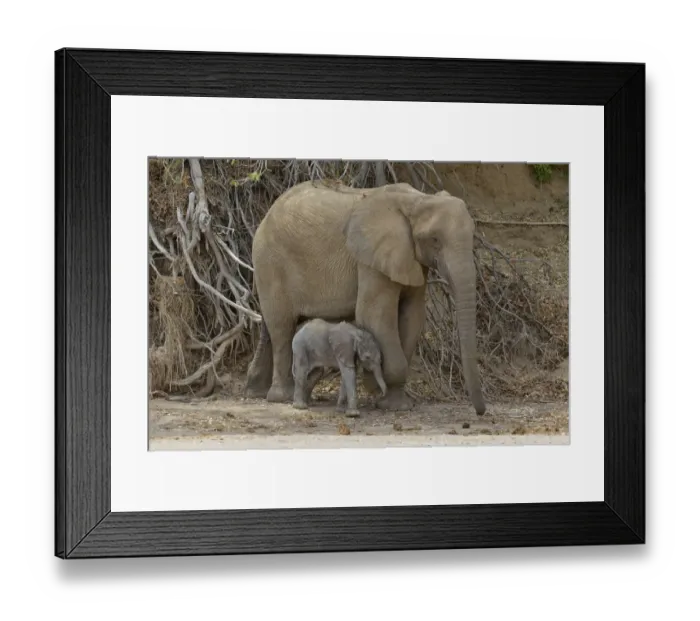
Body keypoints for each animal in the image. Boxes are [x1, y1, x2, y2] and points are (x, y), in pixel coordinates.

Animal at [244, 179, 486, 415]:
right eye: (435, 239)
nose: (480, 412)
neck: (418, 200)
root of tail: (267, 215)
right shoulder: (370, 260)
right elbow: (375, 315)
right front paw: (384, 398)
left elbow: (413, 315)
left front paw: (397, 404)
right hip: (270, 262)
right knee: (281, 327)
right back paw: (282, 396)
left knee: (271, 327)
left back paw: (261, 391)